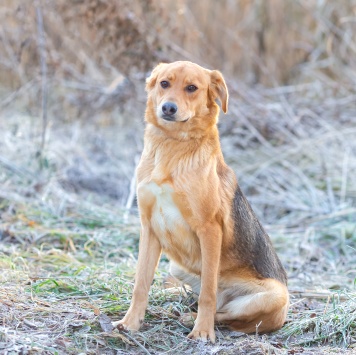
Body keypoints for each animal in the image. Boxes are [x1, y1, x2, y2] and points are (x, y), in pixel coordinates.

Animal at [114, 62, 290, 344]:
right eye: (164, 83)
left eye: (191, 88)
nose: (168, 108)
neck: (173, 147)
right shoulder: (148, 228)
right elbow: (140, 284)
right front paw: (130, 324)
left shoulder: (209, 230)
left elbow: (207, 292)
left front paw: (202, 333)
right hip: (177, 267)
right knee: (212, 303)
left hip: (273, 295)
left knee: (223, 311)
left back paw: (194, 320)